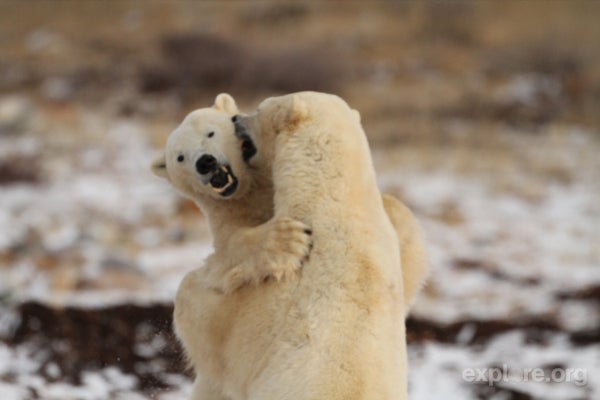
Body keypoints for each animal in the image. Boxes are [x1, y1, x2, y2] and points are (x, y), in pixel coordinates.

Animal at [152, 92, 428, 398]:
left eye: (260, 108)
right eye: (180, 157)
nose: (237, 119)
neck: (332, 205)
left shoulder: (269, 309)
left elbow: (210, 322)